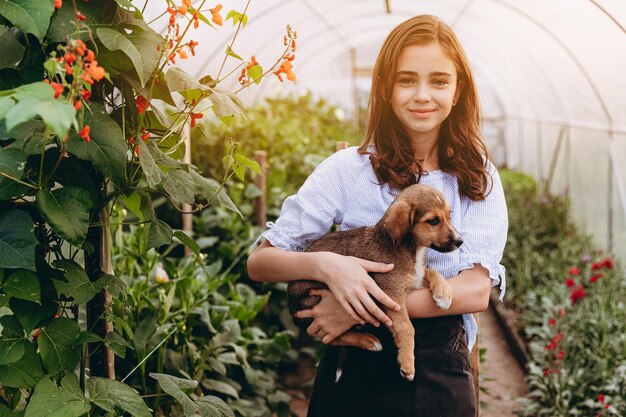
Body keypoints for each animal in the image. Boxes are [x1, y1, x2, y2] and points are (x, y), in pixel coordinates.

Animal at [286, 183, 458, 380]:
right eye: (433, 221)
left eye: (449, 215)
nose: (460, 241)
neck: (410, 248)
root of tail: (291, 308)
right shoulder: (392, 293)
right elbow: (406, 327)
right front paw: (407, 364)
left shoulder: (414, 278)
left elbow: (431, 272)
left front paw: (443, 294)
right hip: (316, 299)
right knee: (331, 337)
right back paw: (367, 341)